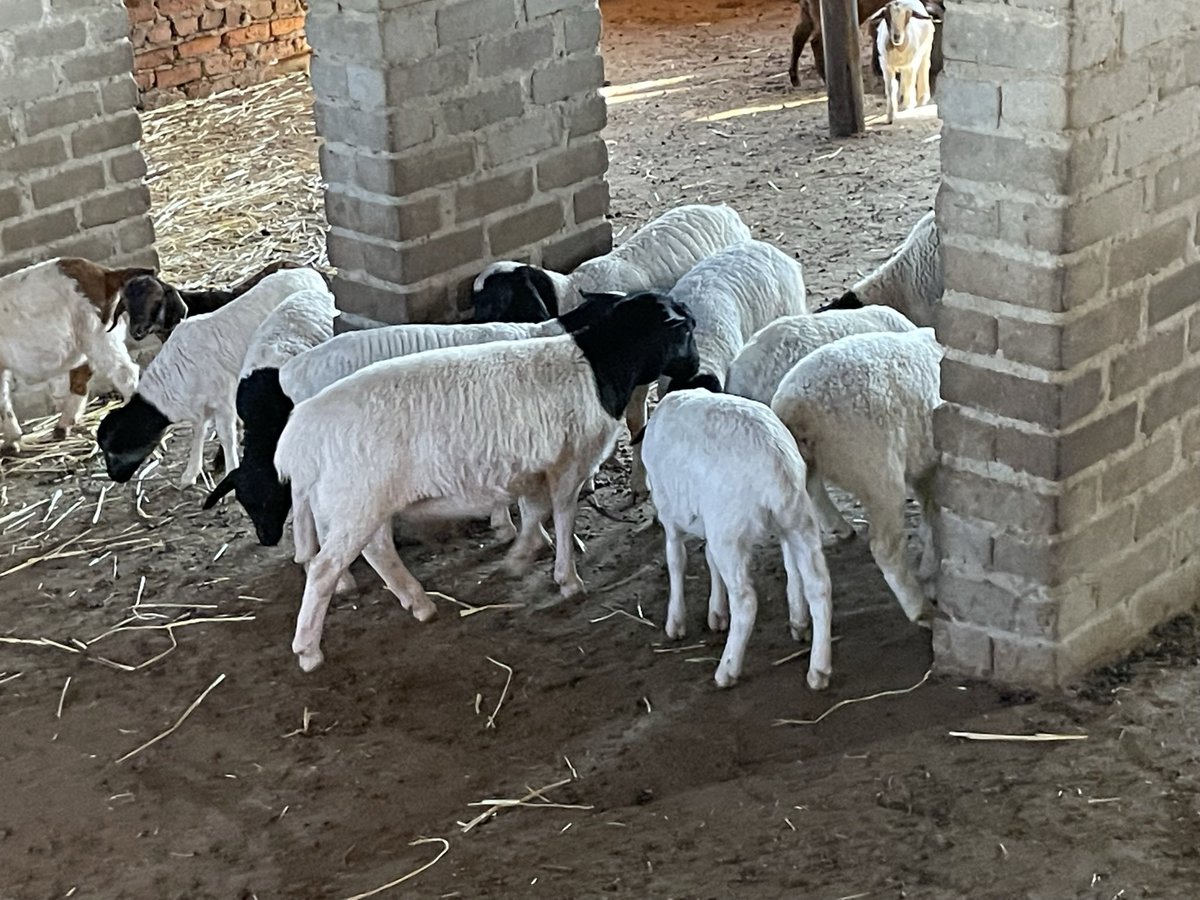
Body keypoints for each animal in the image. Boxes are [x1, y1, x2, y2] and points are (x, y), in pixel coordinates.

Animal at [0, 257, 154, 455]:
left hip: (96, 332)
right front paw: (12, 441)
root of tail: (104, 274)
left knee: (124, 373)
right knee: (82, 377)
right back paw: (61, 427)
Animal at [278, 291, 699, 672]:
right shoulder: (569, 461)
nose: (694, 369)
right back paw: (309, 651)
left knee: (377, 551)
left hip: (362, 502)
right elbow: (563, 513)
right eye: (687, 329)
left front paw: (523, 553)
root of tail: (302, 429)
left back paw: (419, 604)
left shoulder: (534, 467)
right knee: (325, 568)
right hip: (358, 501)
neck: (600, 366)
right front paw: (566, 577)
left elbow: (534, 511)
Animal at [642, 389, 834, 690]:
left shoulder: (669, 511)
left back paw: (728, 669)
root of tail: (776, 462)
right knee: (818, 584)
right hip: (797, 518)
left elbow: (676, 561)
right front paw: (717, 612)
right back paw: (817, 665)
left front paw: (676, 621)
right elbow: (709, 560)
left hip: (730, 531)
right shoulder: (709, 520)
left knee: (745, 600)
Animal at [770, 328, 943, 627]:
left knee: (792, 544)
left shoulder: (925, 464)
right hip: (877, 468)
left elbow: (931, 516)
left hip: (799, 472)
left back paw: (798, 616)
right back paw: (919, 609)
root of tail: (792, 407)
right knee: (885, 548)